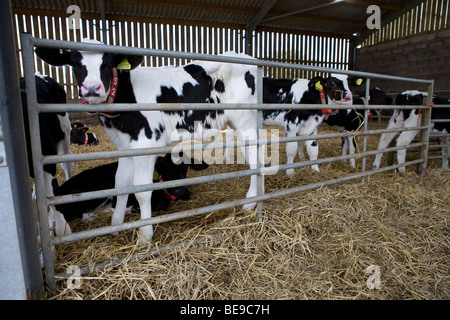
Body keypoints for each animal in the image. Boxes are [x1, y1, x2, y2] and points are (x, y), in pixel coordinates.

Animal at [37, 41, 262, 244]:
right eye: (75, 63)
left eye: (107, 64)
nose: (92, 88)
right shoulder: (124, 146)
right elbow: (120, 184)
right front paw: (116, 225)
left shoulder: (145, 144)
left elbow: (143, 192)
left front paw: (145, 234)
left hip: (246, 122)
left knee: (256, 162)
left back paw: (250, 203)